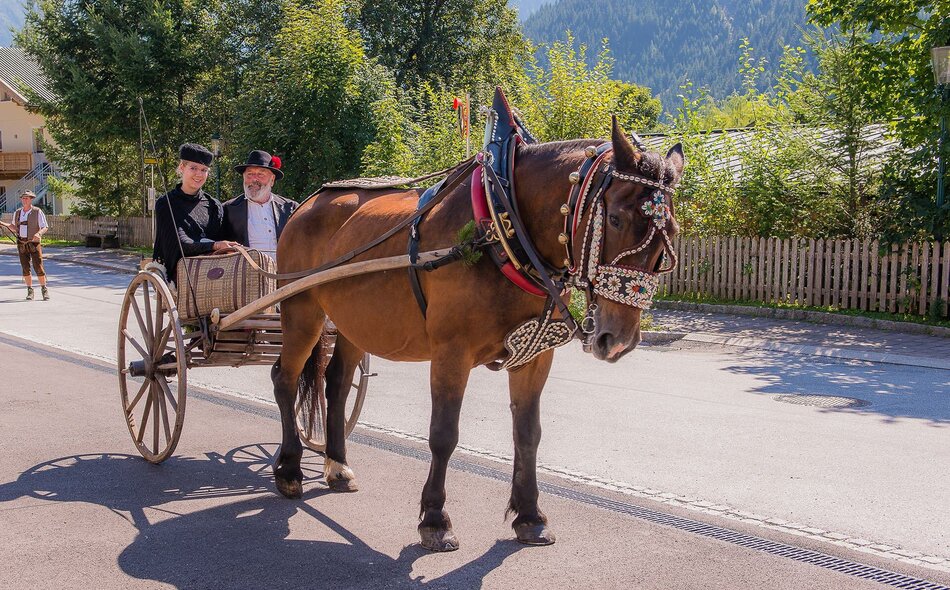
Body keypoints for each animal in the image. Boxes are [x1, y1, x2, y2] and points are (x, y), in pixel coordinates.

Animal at [271, 113, 684, 552]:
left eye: (672, 230)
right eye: (617, 219)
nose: (617, 338)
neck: (503, 230)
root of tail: (306, 204)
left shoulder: (535, 355)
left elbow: (528, 433)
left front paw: (530, 515)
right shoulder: (451, 352)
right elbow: (443, 434)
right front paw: (435, 519)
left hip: (353, 322)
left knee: (335, 383)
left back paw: (337, 466)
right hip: (303, 311)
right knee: (286, 377)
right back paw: (290, 470)